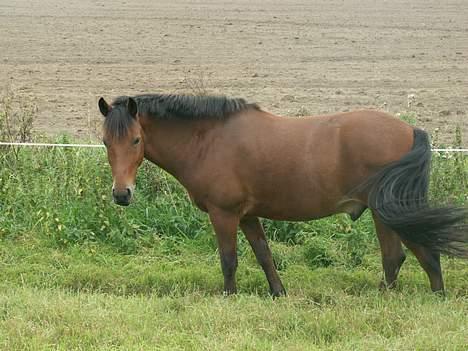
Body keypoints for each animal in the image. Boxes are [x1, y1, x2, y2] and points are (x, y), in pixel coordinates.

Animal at [97, 94, 466, 296]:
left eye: (135, 140)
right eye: (105, 141)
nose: (122, 194)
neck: (209, 140)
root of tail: (410, 129)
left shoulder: (224, 214)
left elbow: (228, 259)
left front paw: (228, 297)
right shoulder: (248, 215)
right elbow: (264, 255)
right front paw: (278, 293)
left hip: (384, 210)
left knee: (398, 255)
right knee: (416, 253)